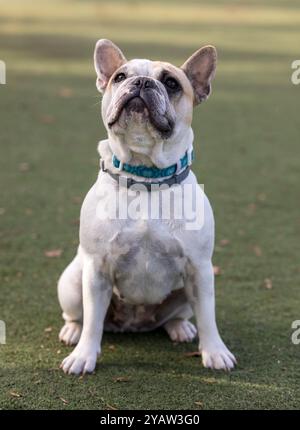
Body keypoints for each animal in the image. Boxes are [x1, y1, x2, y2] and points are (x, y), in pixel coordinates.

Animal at [57, 38, 237, 374]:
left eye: (171, 83)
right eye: (119, 77)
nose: (140, 82)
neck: (145, 176)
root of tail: (134, 323)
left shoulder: (200, 269)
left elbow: (208, 315)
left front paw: (215, 351)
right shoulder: (97, 268)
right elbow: (93, 321)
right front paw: (84, 356)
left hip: (185, 293)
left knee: (179, 315)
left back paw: (181, 327)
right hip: (73, 282)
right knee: (80, 315)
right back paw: (72, 331)